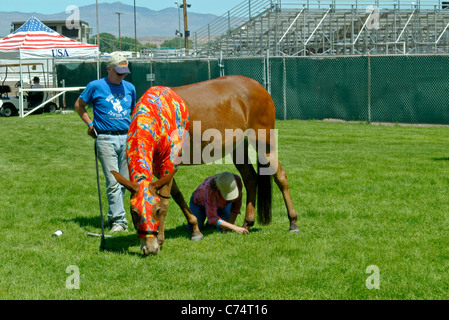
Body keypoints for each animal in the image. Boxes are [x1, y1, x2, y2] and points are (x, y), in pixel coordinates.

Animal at [114, 75, 300, 255]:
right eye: (134, 212)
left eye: (156, 211)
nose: (148, 248)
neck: (156, 112)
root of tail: (260, 87)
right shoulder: (160, 170)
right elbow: (178, 196)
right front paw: (195, 229)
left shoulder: (168, 164)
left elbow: (166, 201)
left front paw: (160, 240)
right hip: (238, 147)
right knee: (250, 179)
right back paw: (247, 223)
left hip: (264, 143)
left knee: (280, 177)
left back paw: (293, 222)